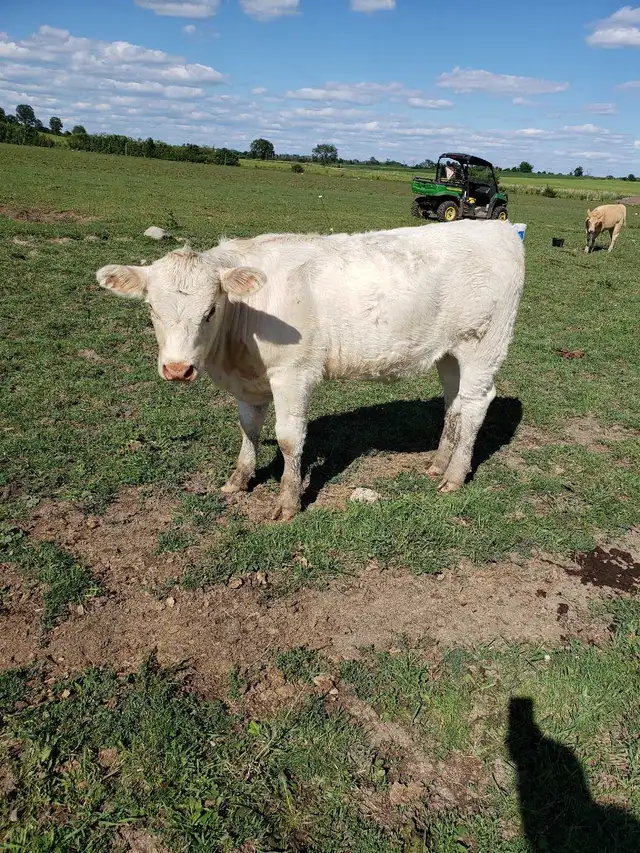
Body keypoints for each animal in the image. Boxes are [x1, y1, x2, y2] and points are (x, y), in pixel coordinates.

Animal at [96, 219, 525, 521]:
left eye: (210, 310)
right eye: (151, 308)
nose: (177, 368)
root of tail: (500, 229)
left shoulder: (293, 373)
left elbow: (289, 439)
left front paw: (288, 502)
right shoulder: (249, 382)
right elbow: (248, 429)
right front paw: (239, 479)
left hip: (483, 344)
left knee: (476, 404)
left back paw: (454, 476)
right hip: (449, 352)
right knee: (455, 402)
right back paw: (438, 464)